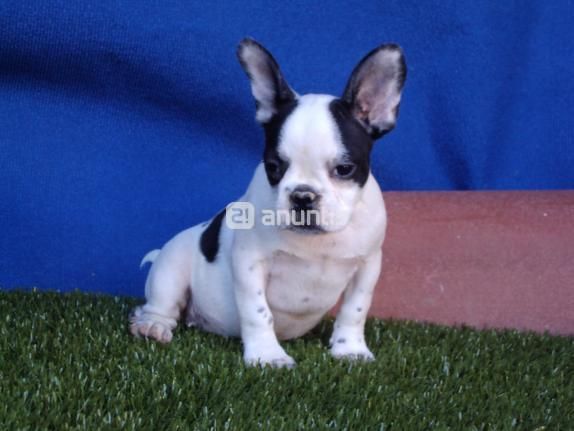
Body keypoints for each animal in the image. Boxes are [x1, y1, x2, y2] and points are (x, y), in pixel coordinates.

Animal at [132, 38, 410, 368]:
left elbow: (355, 309)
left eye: (344, 169)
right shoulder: (250, 262)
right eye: (274, 167)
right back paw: (152, 326)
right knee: (159, 306)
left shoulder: (367, 266)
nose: (303, 195)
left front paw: (350, 349)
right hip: (170, 271)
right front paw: (268, 355)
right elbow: (257, 311)